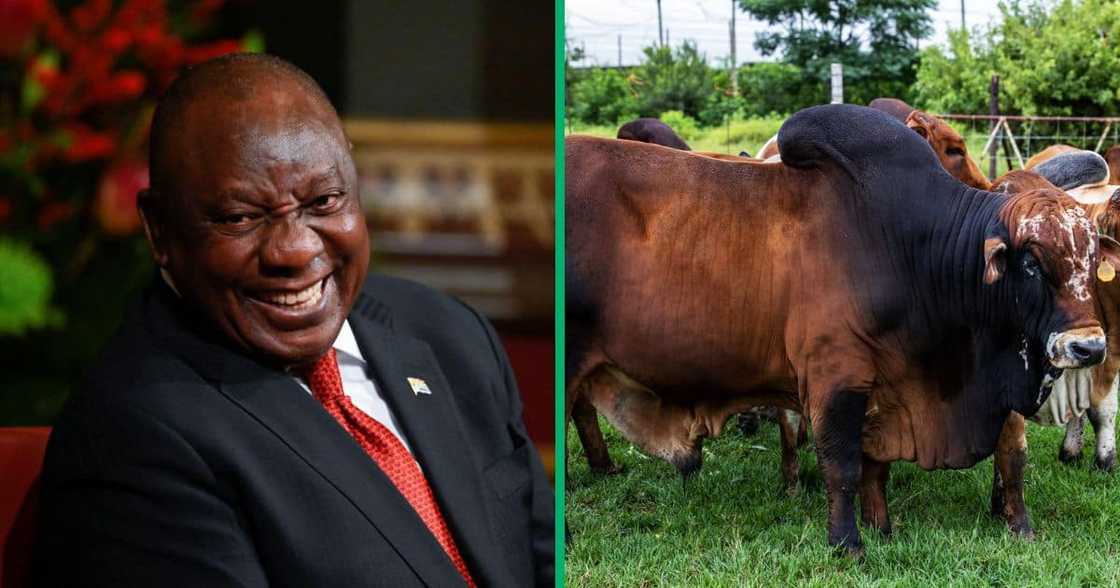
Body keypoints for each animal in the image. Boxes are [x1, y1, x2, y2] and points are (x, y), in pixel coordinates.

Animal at [566, 104, 1116, 555]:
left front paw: (881, 527)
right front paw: (848, 543)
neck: (912, 246)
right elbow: (843, 464)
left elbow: (881, 465)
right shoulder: (835, 375)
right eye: (1031, 264)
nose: (1088, 347)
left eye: (1091, 261)